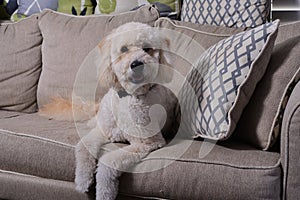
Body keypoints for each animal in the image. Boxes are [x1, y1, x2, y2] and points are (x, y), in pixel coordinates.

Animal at [39, 22, 178, 200]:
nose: (136, 64)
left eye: (147, 49)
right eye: (124, 49)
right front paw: (82, 180)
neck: (128, 96)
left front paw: (104, 192)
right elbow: (83, 147)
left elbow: (109, 160)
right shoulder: (102, 131)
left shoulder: (148, 143)